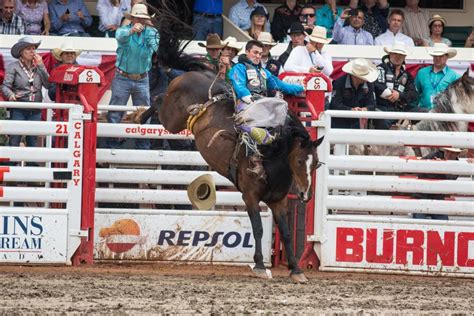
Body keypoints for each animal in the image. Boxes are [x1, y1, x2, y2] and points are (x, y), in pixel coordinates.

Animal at [157, 70, 324, 282]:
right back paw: (136, 114)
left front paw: (296, 269)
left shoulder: (279, 201)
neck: (271, 155)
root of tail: (192, 74)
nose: (305, 195)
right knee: (157, 100)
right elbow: (258, 228)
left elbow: (286, 233)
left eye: (317, 163)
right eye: (300, 161)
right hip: (170, 120)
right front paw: (260, 265)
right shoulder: (250, 197)